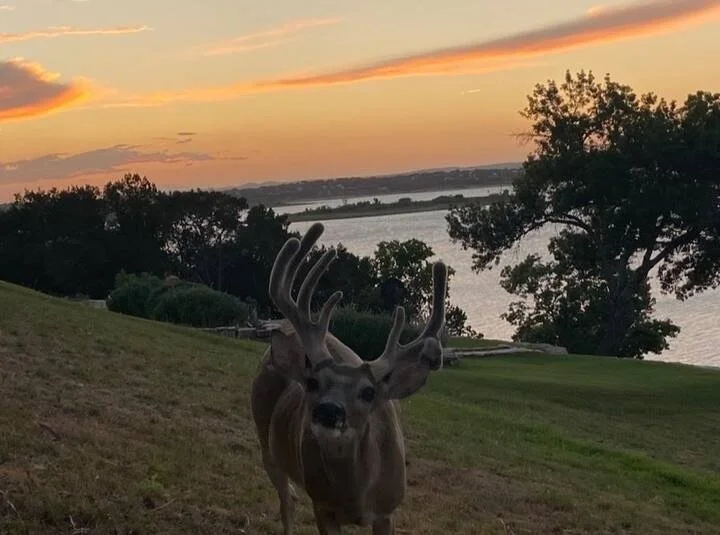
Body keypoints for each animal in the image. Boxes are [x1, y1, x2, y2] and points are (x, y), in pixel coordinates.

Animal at [251, 222, 447, 534]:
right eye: (312, 382)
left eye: (369, 392)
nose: (329, 410)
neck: (356, 495)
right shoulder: (321, 506)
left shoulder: (387, 510)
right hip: (265, 441)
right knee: (287, 501)